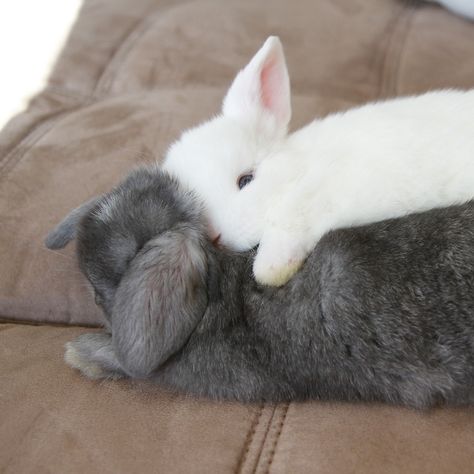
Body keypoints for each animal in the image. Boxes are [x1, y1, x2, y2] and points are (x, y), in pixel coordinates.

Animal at [164, 36, 474, 286]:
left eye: (246, 180)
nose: (214, 237)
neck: (297, 171)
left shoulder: (303, 207)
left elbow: (276, 251)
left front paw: (271, 270)